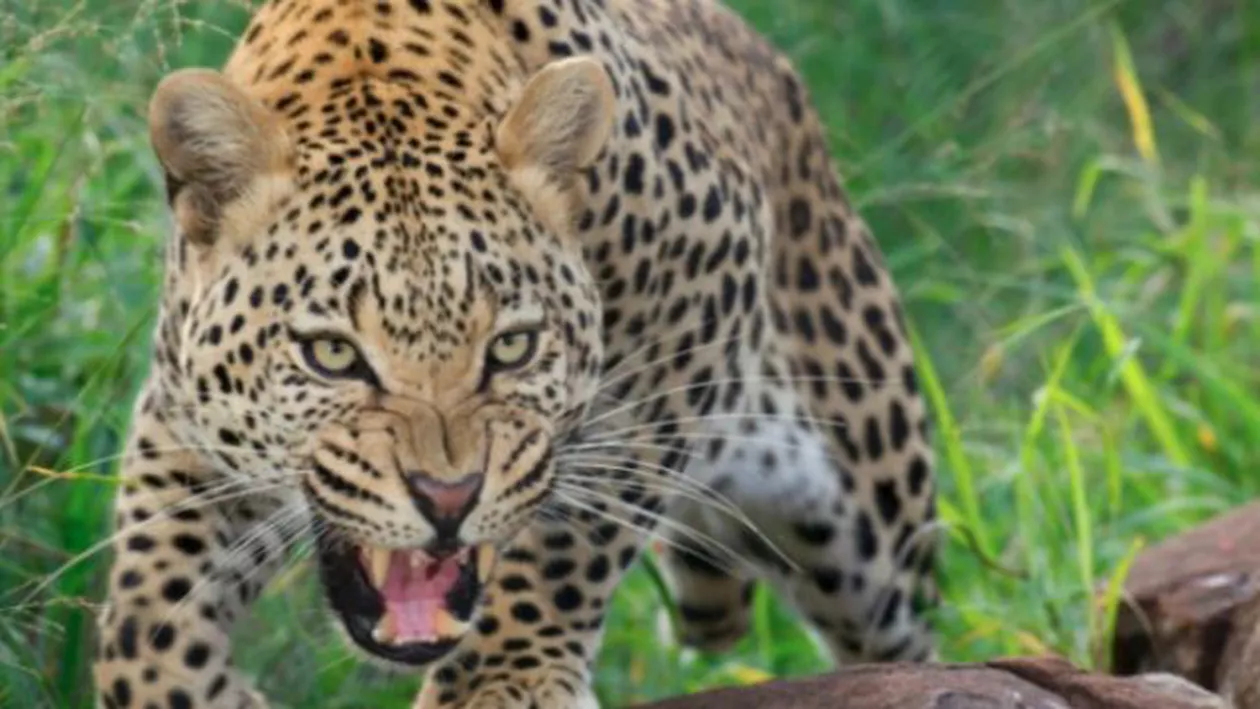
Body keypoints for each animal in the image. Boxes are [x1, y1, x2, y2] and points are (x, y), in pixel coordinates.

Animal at [91, 0, 938, 707]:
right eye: (332, 353)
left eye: (514, 347)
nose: (448, 498)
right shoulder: (183, 415)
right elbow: (142, 615)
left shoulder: (696, 301)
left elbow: (574, 534)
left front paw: (503, 678)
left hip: (873, 511)